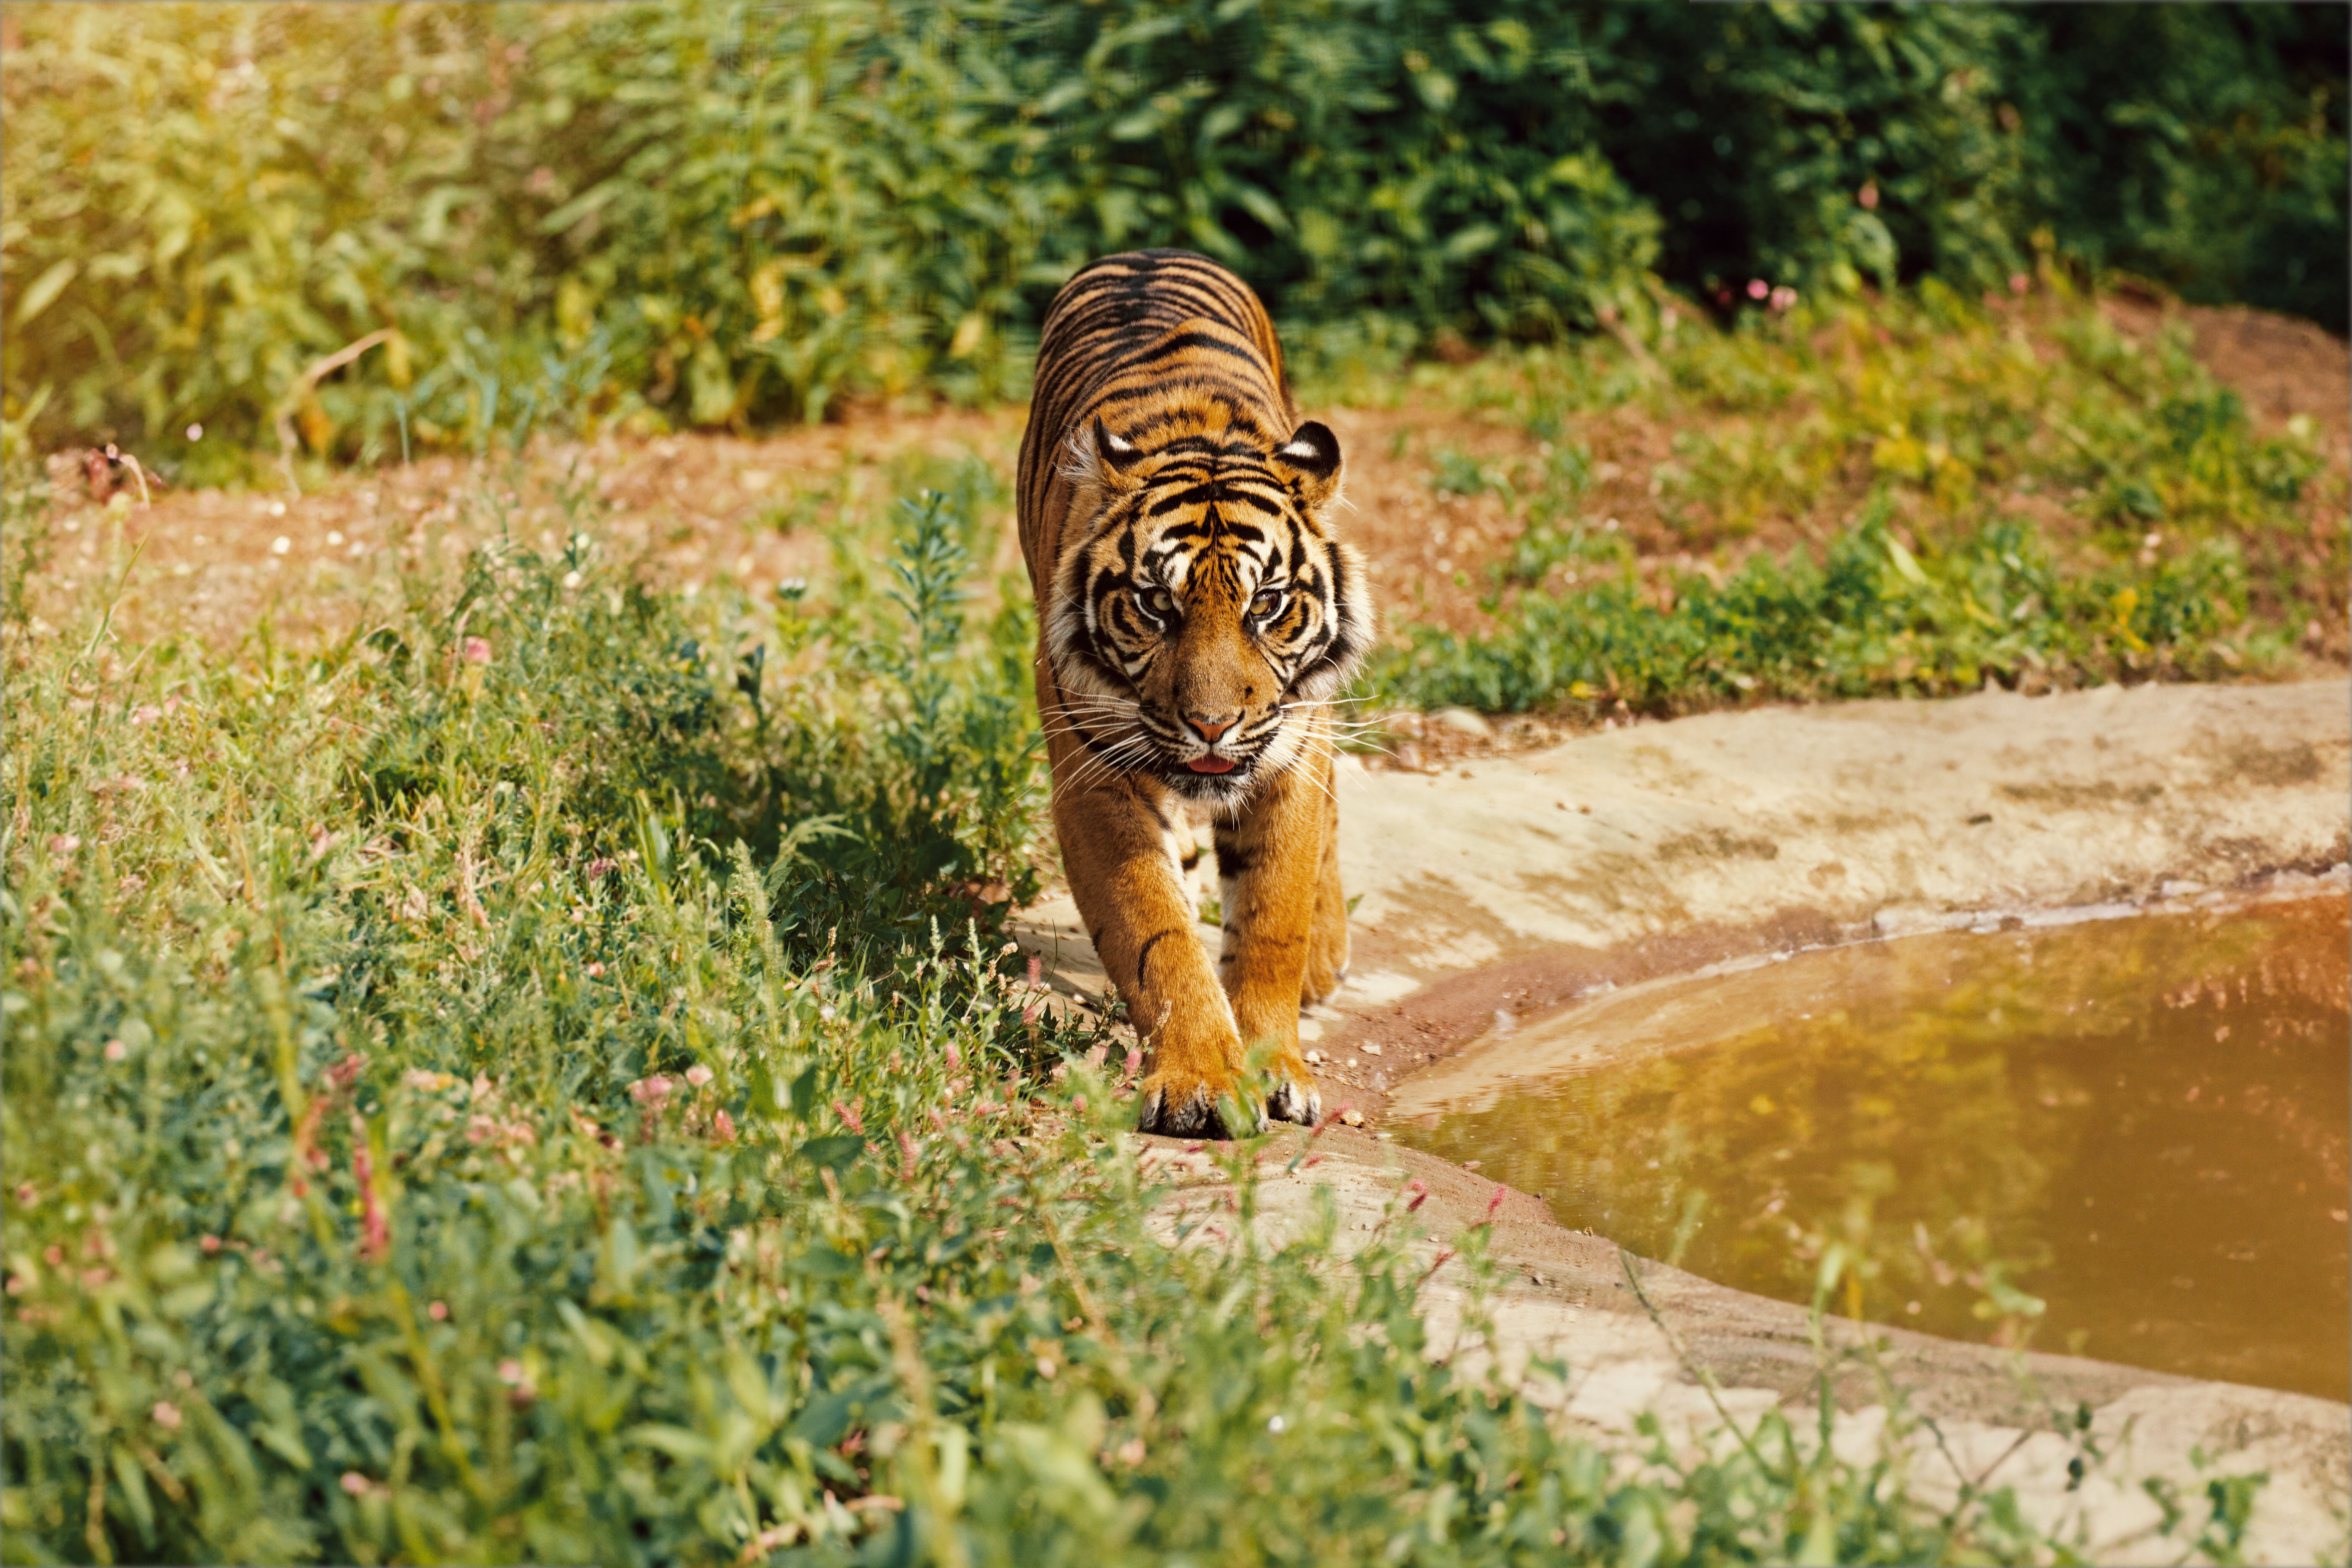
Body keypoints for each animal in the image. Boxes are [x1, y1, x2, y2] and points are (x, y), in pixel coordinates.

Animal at [1016, 249, 1374, 1138]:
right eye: (1155, 605)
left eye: (1267, 604)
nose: (1212, 726)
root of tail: (1148, 251)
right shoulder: (1094, 773)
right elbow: (1157, 930)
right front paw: (1201, 1080)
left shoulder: (1289, 756)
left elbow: (1272, 917)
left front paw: (1276, 1067)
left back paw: (1326, 957)